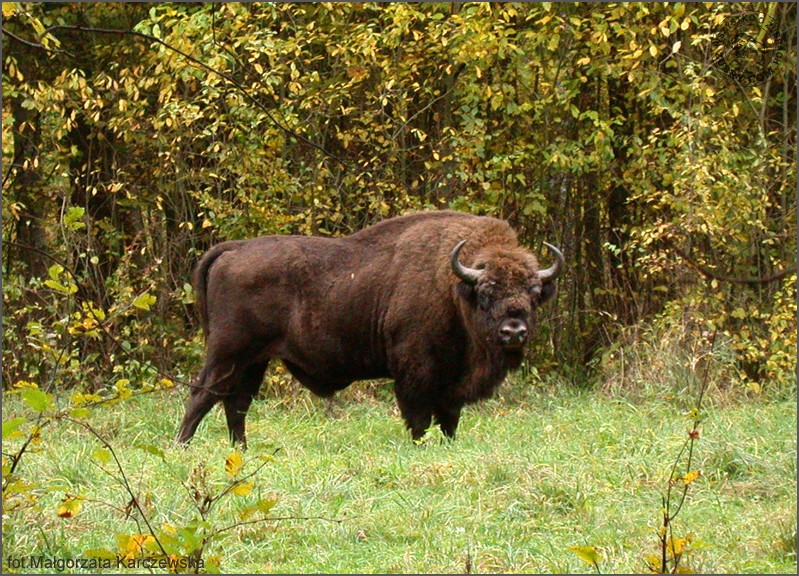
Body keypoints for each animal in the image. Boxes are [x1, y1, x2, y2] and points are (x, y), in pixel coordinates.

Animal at [177, 212, 564, 446]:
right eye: (486, 293)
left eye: (533, 293)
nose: (513, 331)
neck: (453, 287)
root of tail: (235, 249)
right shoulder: (416, 374)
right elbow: (419, 417)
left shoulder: (450, 386)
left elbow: (449, 420)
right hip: (228, 353)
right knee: (202, 395)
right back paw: (183, 447)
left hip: (253, 360)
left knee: (236, 403)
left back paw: (240, 450)